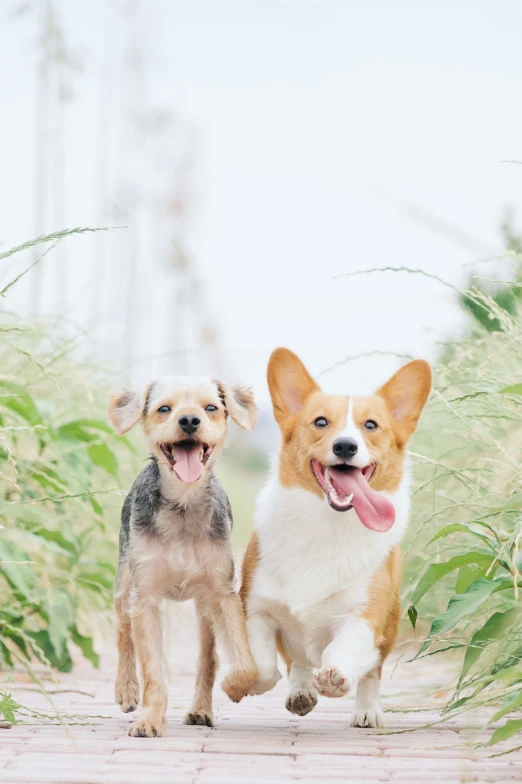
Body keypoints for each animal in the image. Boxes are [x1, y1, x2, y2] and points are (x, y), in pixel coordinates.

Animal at [108, 376, 258, 740]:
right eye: (164, 408)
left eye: (211, 408)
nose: (189, 420)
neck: (183, 506)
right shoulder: (145, 597)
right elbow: (152, 670)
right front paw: (149, 719)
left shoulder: (222, 594)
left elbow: (244, 662)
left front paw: (235, 687)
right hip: (124, 587)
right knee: (123, 634)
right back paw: (126, 690)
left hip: (204, 610)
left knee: (207, 658)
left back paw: (201, 710)